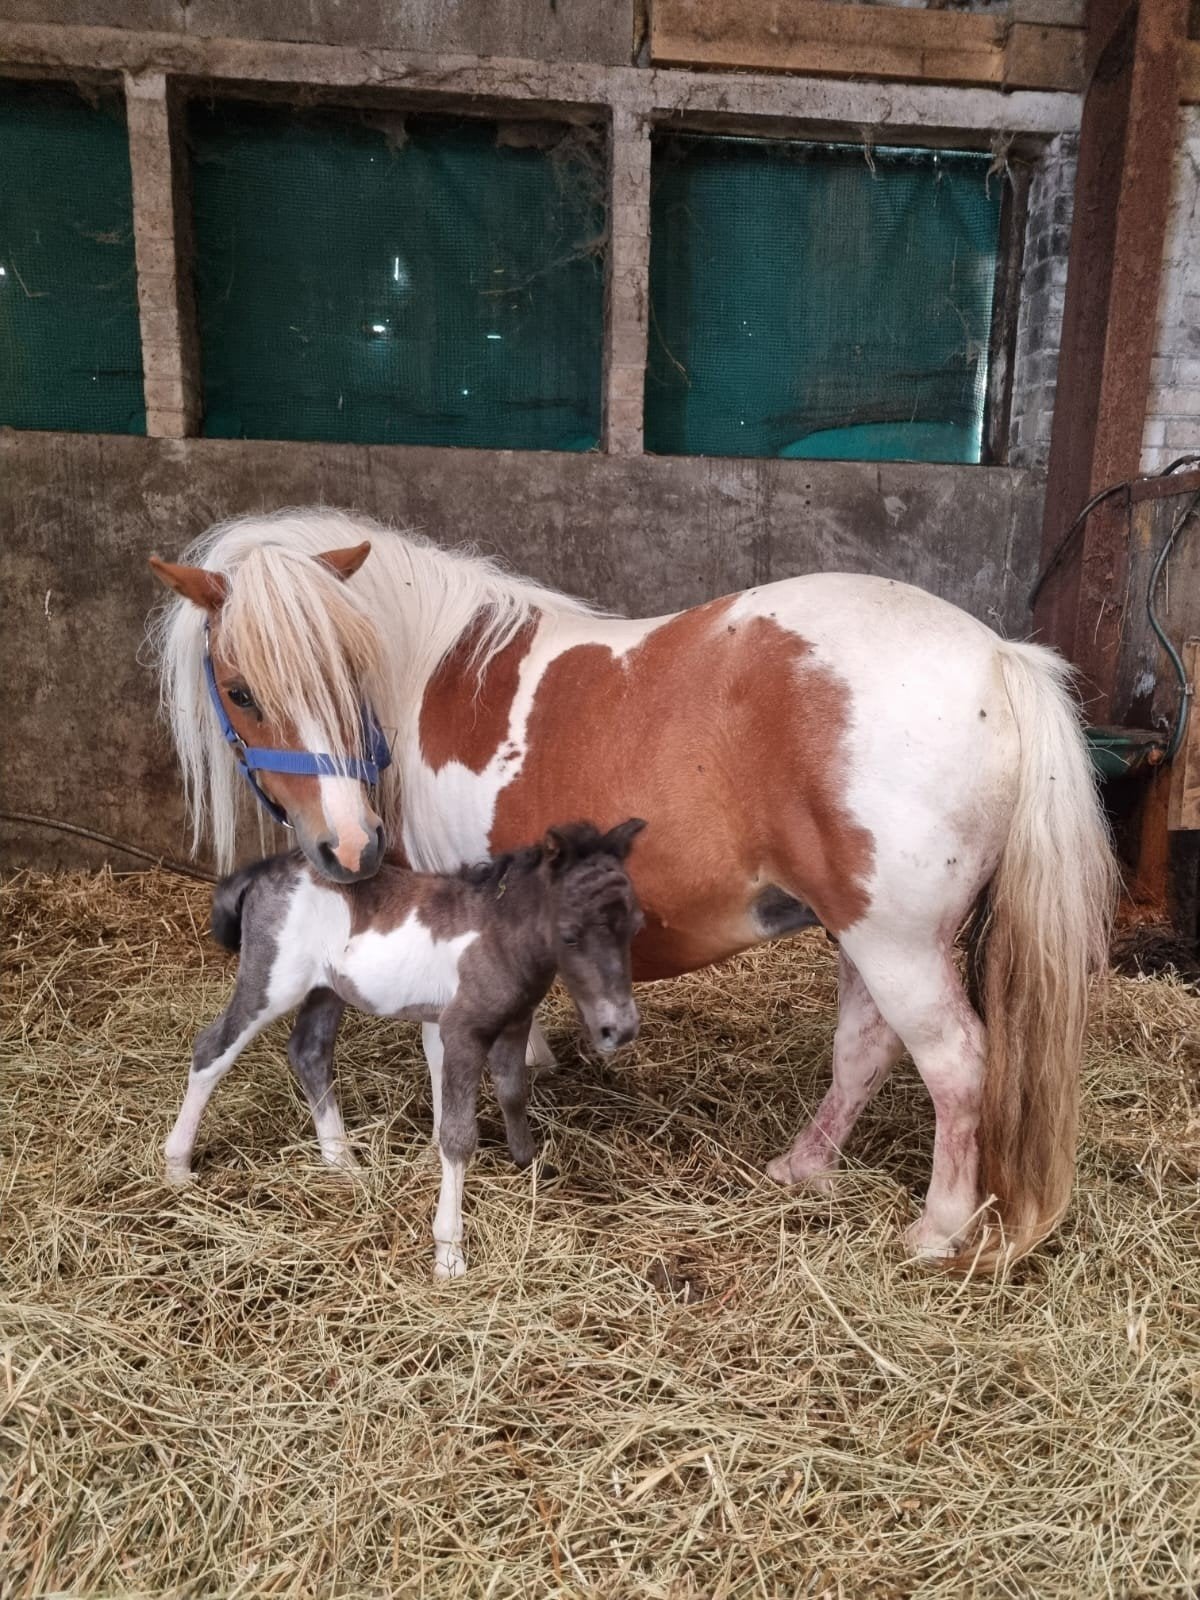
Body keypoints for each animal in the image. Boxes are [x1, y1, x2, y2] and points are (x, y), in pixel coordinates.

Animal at [163, 819, 646, 1278]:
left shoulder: (514, 1023)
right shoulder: (463, 1031)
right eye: (569, 936)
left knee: (309, 1051)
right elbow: (458, 1137)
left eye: (634, 927)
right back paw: (178, 1165)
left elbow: (513, 1093)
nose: (618, 1029)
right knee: (212, 1049)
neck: (497, 933)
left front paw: (527, 1165)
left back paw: (341, 1161)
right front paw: (449, 1254)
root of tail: (263, 870)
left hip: (326, 990)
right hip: (272, 984)